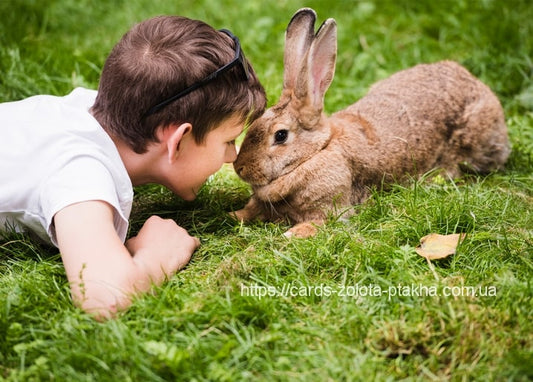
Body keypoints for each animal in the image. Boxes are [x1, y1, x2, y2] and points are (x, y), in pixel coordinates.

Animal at [231, 7, 510, 237]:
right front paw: (233, 215)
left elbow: (321, 221)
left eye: (280, 136)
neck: (317, 152)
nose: (239, 167)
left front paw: (293, 233)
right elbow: (250, 209)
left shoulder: (332, 207)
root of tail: (476, 83)